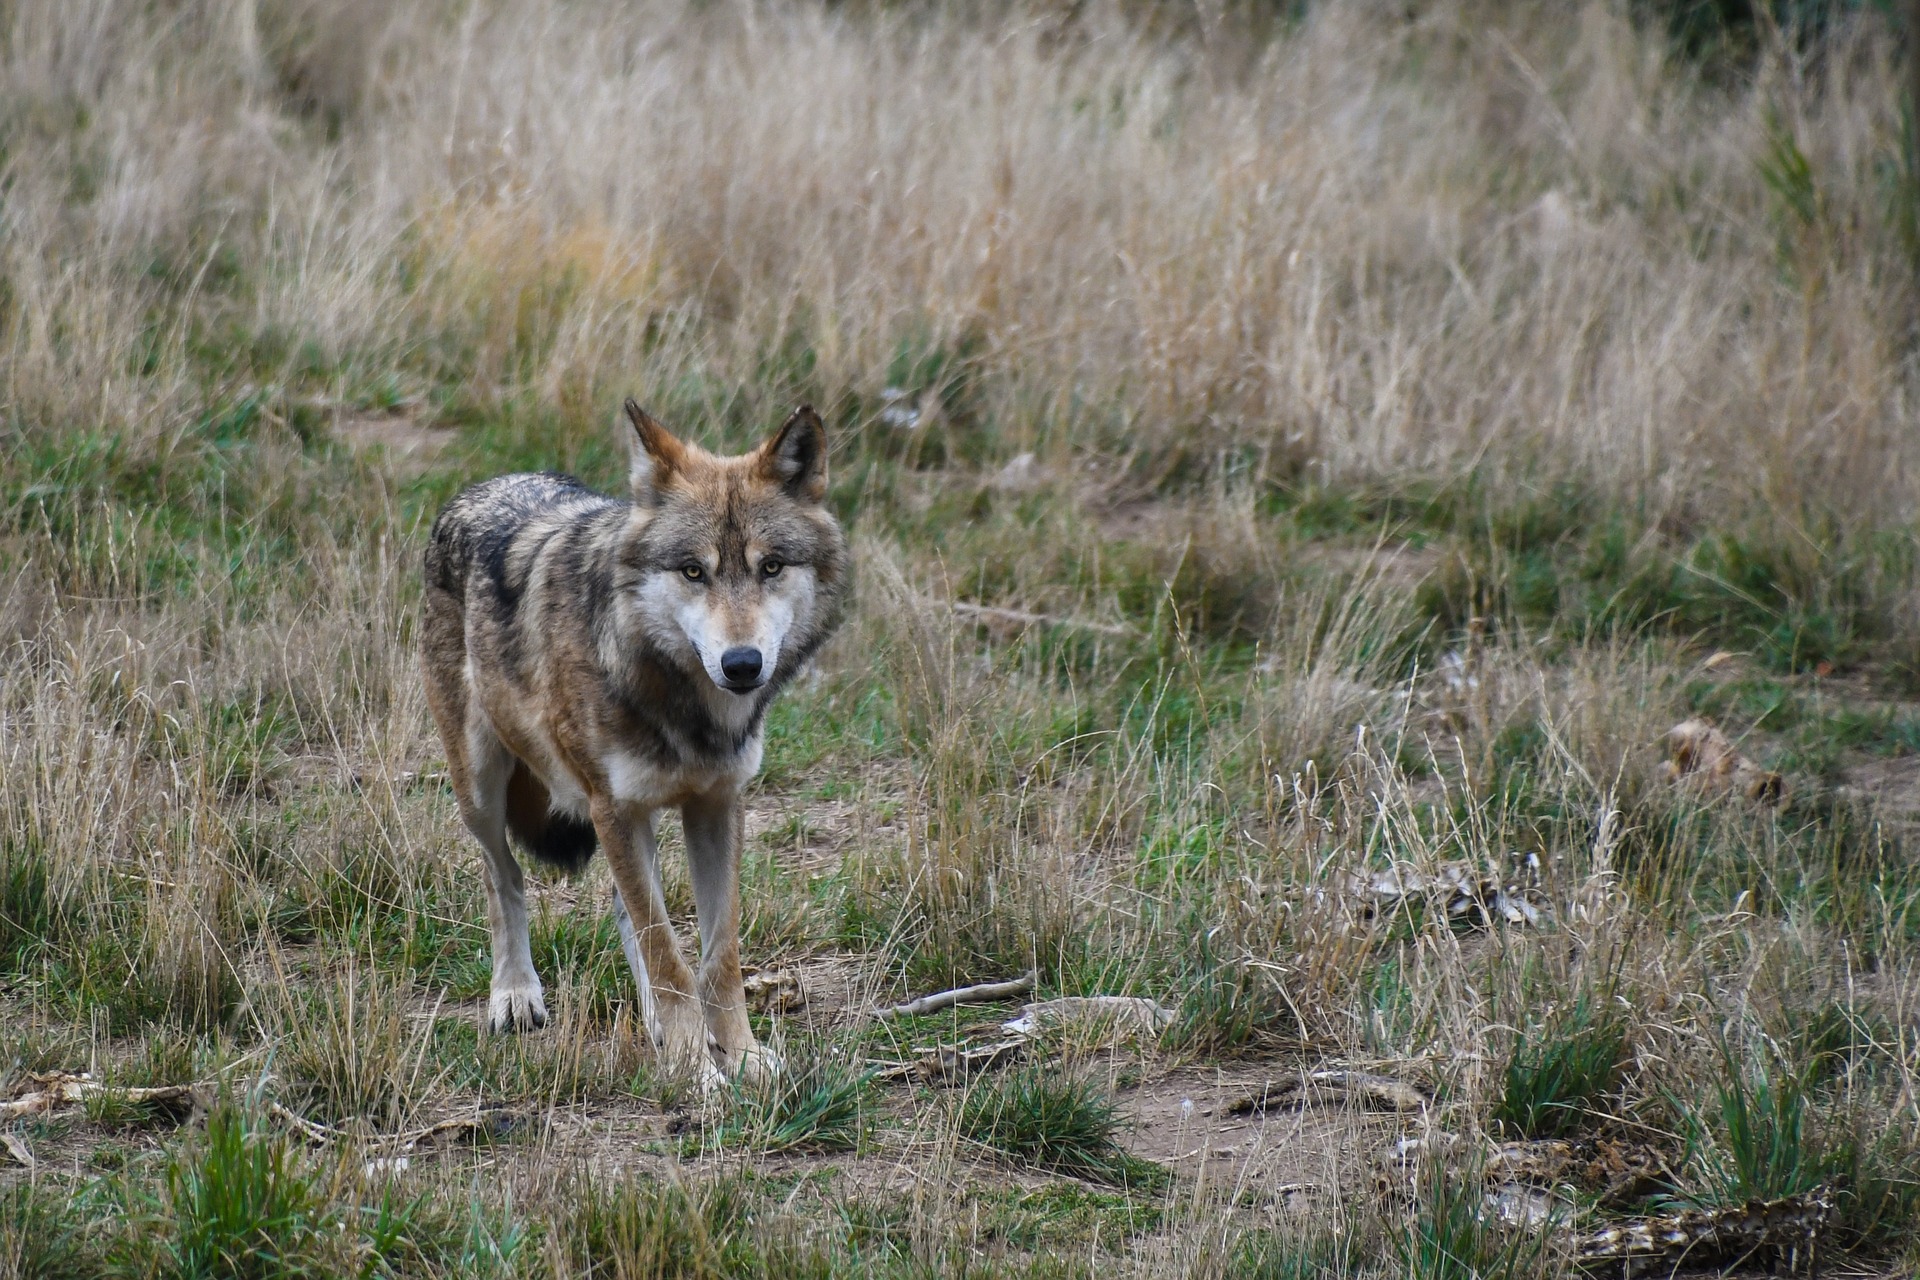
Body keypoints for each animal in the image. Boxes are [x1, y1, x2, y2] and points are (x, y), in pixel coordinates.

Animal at [428, 401, 848, 1082]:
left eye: (772, 567)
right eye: (693, 571)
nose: (742, 664)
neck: (686, 711)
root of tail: (486, 485)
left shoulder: (718, 804)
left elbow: (715, 956)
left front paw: (742, 1057)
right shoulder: (613, 807)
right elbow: (669, 956)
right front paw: (699, 1076)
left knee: (627, 910)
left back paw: (655, 1024)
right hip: (482, 790)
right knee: (503, 877)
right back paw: (514, 994)